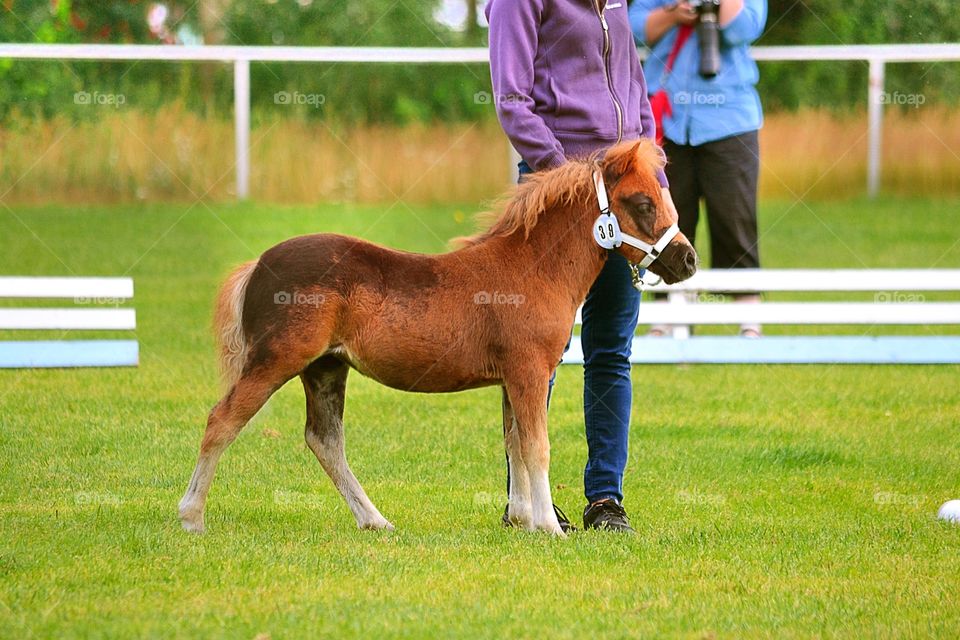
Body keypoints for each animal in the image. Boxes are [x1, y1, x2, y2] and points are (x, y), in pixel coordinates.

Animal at [176, 140, 692, 536]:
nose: (687, 260)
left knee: (324, 439)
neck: (531, 269)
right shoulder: (528, 371)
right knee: (222, 421)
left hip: (325, 367)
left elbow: (514, 444)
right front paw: (549, 527)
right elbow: (536, 447)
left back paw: (376, 521)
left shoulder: (511, 379)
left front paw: (522, 522)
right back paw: (191, 517)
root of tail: (257, 265)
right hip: (277, 359)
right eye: (642, 203)